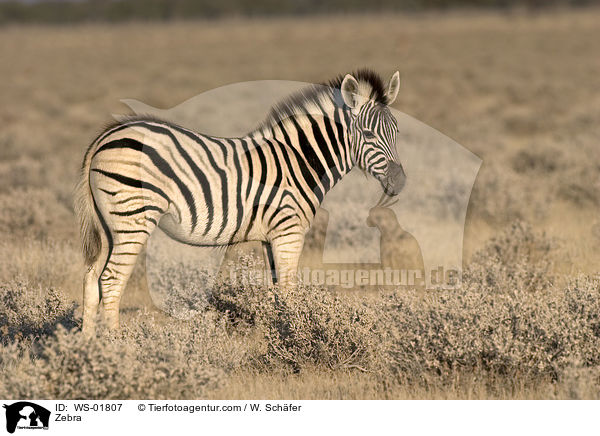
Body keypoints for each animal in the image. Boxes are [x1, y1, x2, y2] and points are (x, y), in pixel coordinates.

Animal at [74, 69, 404, 334]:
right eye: (368, 133)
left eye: (397, 131)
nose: (400, 181)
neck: (298, 160)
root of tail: (105, 137)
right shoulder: (289, 232)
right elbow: (288, 291)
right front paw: (295, 338)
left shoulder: (272, 237)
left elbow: (277, 292)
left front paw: (281, 339)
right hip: (132, 220)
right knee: (111, 281)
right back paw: (118, 348)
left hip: (109, 226)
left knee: (92, 279)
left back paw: (87, 348)